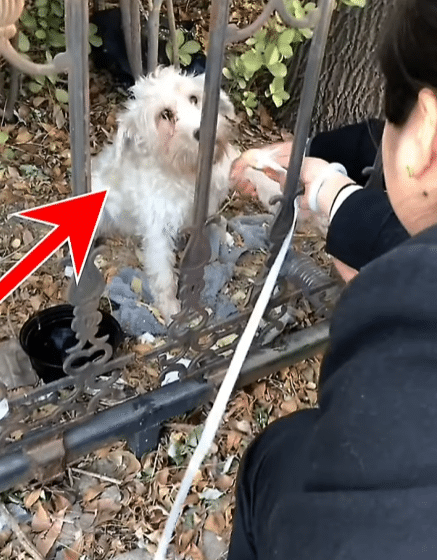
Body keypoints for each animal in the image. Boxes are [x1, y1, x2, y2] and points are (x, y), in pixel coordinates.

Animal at [92, 66, 237, 322]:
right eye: (165, 114)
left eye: (194, 99)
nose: (205, 132)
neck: (184, 172)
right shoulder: (157, 231)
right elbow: (163, 274)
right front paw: (170, 309)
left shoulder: (208, 204)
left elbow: (217, 221)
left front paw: (224, 237)